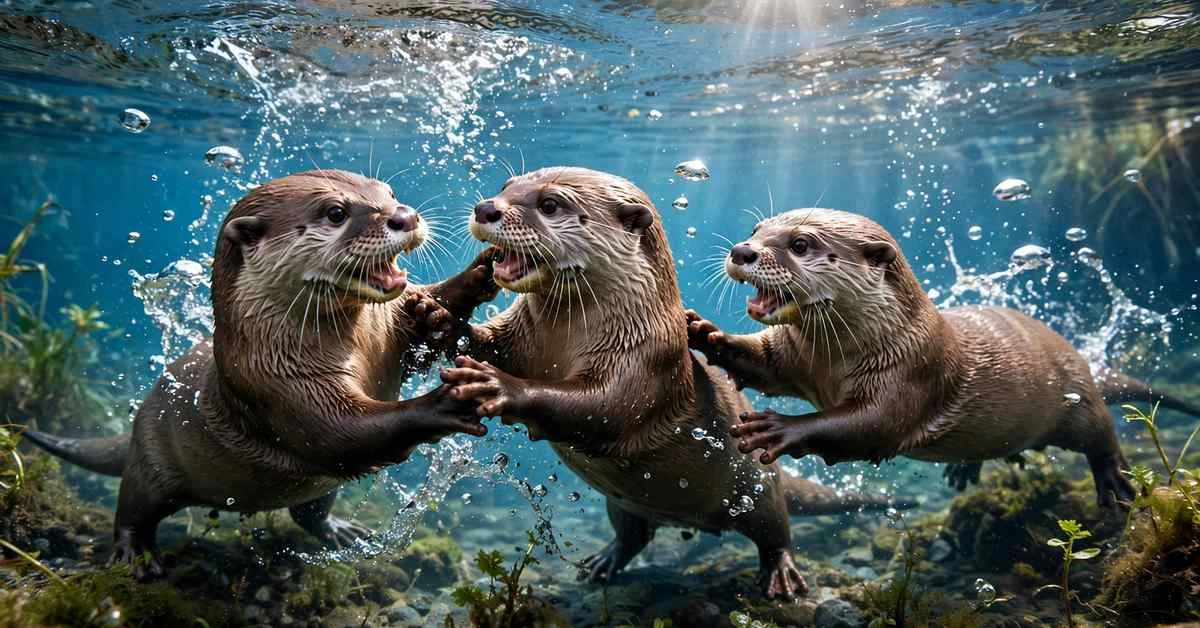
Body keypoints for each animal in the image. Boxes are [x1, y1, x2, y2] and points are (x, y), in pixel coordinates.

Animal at [24, 170, 496, 579]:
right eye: (336, 213)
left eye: (390, 193)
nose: (405, 215)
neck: (358, 348)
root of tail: (137, 420)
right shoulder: (278, 384)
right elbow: (341, 433)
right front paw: (443, 402)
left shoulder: (387, 333)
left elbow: (418, 331)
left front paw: (468, 281)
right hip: (150, 465)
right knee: (132, 508)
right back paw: (136, 556)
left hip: (316, 488)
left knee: (308, 512)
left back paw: (340, 531)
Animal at [440, 168, 909, 599]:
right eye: (506, 186)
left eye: (550, 204)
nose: (486, 207)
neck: (564, 339)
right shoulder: (519, 332)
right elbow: (489, 342)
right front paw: (441, 317)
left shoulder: (645, 355)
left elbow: (602, 407)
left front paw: (498, 385)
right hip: (622, 502)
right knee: (633, 534)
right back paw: (604, 562)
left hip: (757, 489)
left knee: (775, 530)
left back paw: (781, 575)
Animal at [687, 208, 1196, 507]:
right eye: (756, 230)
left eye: (800, 244)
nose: (742, 250)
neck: (834, 360)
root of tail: (1081, 359)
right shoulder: (793, 355)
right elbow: (762, 364)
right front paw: (704, 333)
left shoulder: (911, 372)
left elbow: (868, 425)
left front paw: (780, 428)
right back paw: (963, 469)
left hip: (1075, 401)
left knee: (1103, 433)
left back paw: (1114, 482)